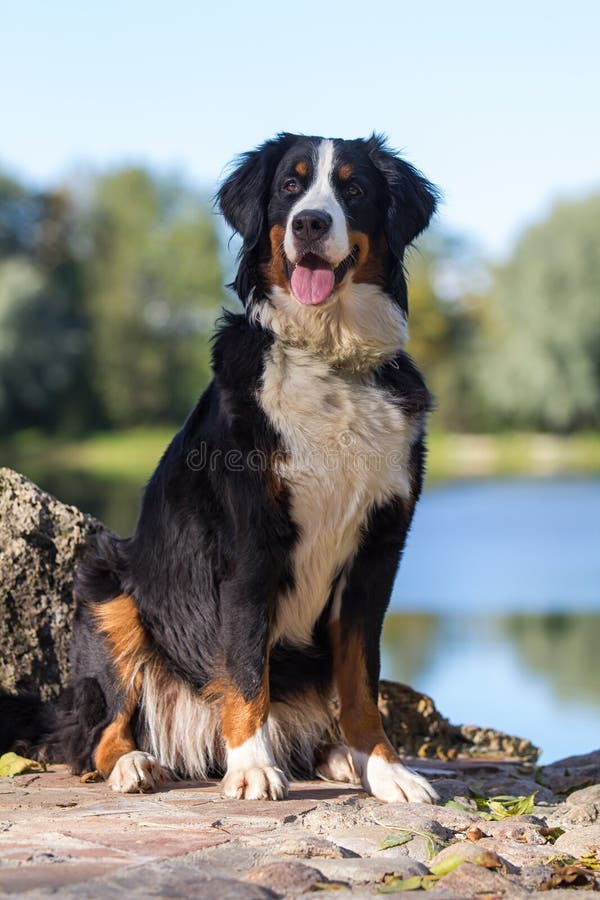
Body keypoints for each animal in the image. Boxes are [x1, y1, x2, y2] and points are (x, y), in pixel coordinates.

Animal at [3, 132, 440, 800]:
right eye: (290, 185)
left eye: (354, 189)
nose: (310, 223)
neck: (327, 357)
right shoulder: (249, 542)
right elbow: (243, 663)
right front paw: (252, 766)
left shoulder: (377, 551)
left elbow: (362, 682)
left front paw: (386, 769)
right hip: (107, 592)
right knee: (93, 734)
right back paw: (136, 764)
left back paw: (334, 756)